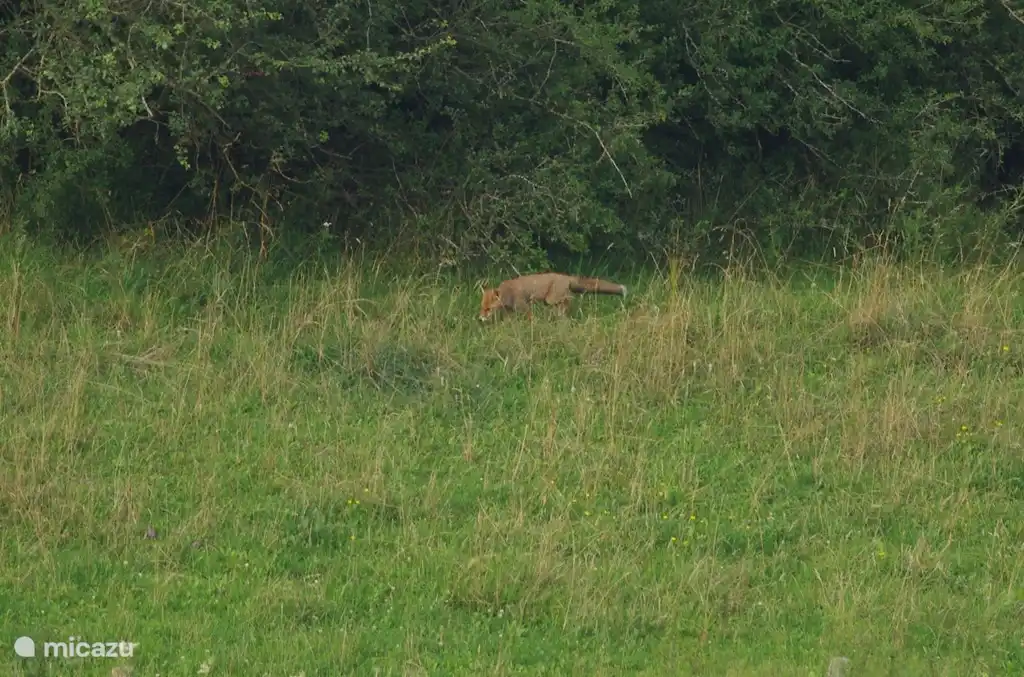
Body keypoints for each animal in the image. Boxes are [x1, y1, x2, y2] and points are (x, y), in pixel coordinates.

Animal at [479, 272, 627, 321]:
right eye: (482, 308)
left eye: (488, 309)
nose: (480, 318)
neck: (507, 293)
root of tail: (567, 276)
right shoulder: (509, 311)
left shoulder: (524, 307)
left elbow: (531, 319)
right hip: (552, 303)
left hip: (551, 300)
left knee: (569, 301)